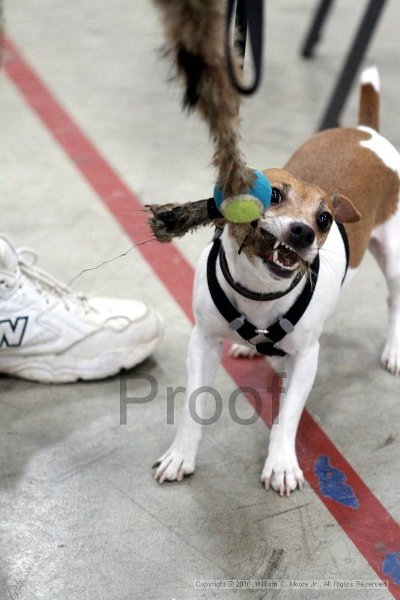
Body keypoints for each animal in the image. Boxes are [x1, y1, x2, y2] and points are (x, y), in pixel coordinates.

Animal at [153, 67, 400, 496]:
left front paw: (282, 463)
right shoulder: (203, 341)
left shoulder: (306, 359)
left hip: (395, 254)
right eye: (274, 195)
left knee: (395, 300)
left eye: (324, 219)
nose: (303, 232)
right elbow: (193, 405)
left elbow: (287, 416)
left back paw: (394, 350)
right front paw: (181, 454)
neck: (260, 292)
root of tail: (366, 130)